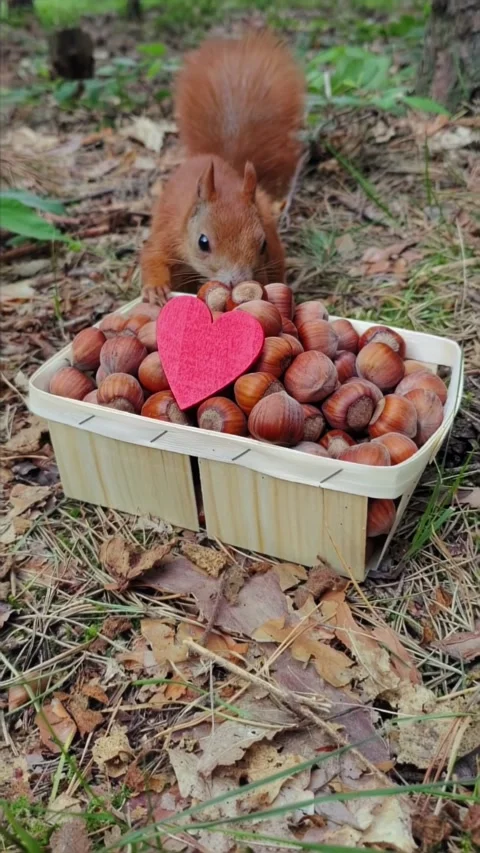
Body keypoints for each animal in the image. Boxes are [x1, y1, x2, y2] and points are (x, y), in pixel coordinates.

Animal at [140, 30, 305, 305]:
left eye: (262, 244)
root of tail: (216, 157)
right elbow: (152, 256)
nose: (237, 281)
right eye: (203, 242)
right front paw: (155, 288)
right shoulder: (168, 232)